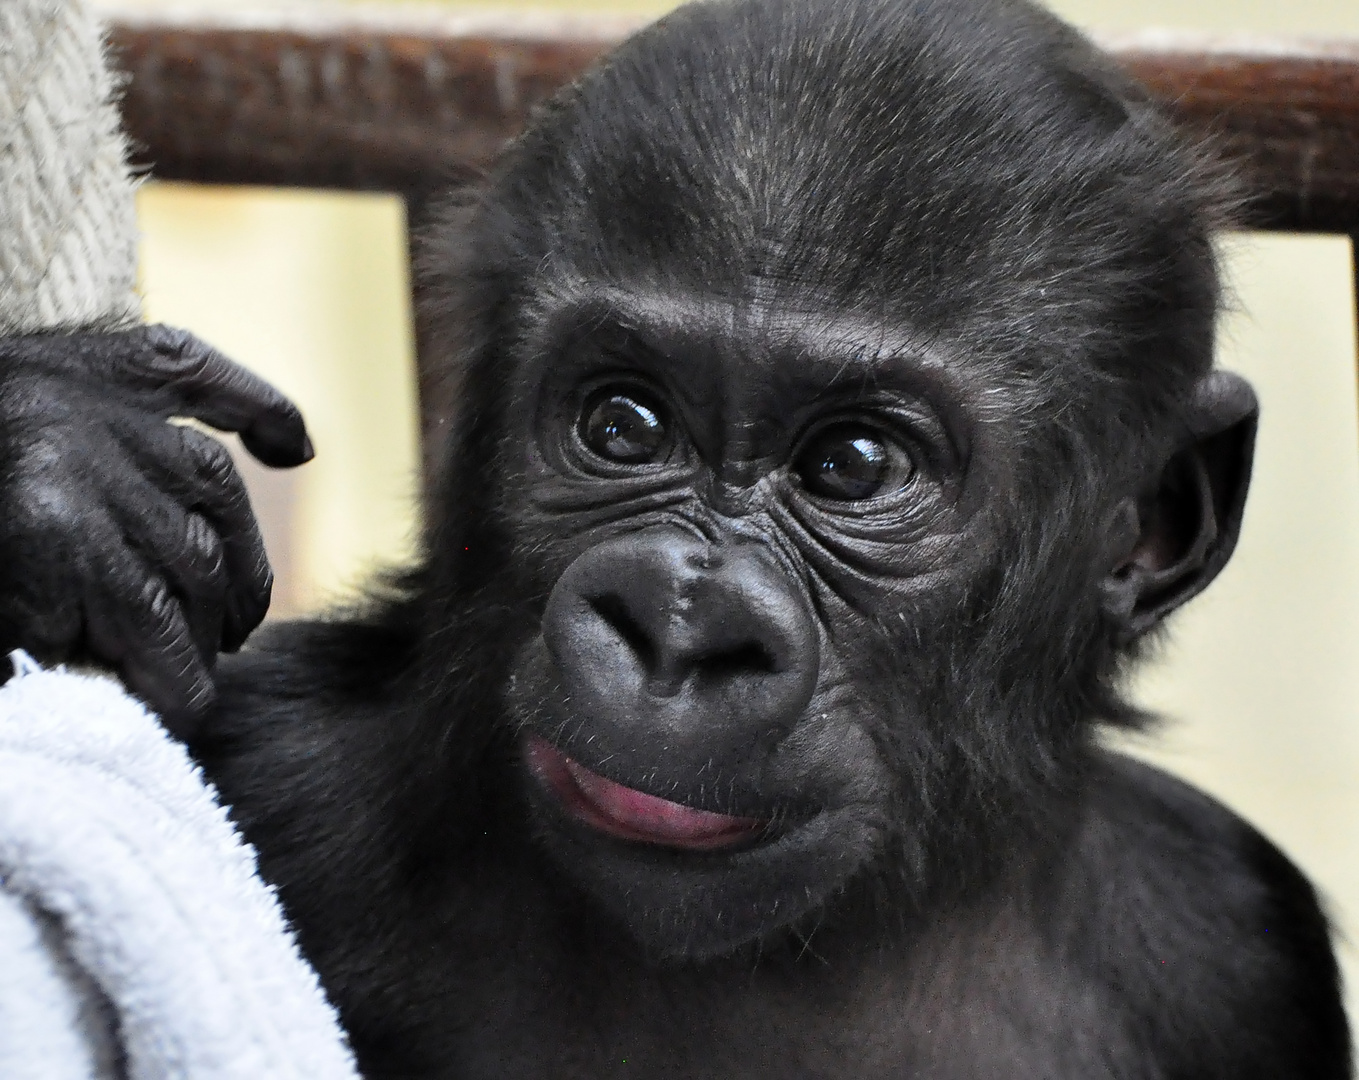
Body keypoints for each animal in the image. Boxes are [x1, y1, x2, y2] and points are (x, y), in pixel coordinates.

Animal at [0, 0, 1353, 1070]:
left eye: (855, 464)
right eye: (623, 424)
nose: (680, 626)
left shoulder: (1225, 945)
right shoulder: (274, 758)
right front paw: (51, 457)